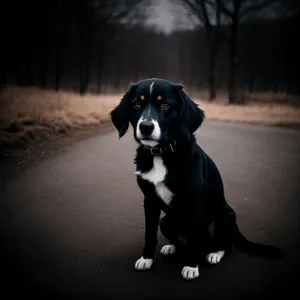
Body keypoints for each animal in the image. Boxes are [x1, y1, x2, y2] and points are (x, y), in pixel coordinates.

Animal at [110, 78, 284, 280]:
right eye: (137, 104)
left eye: (165, 105)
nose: (146, 127)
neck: (162, 153)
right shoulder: (150, 201)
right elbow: (149, 234)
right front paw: (146, 259)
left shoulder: (193, 202)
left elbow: (193, 237)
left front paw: (191, 267)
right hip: (166, 221)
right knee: (182, 241)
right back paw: (173, 248)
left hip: (224, 216)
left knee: (225, 246)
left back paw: (214, 254)